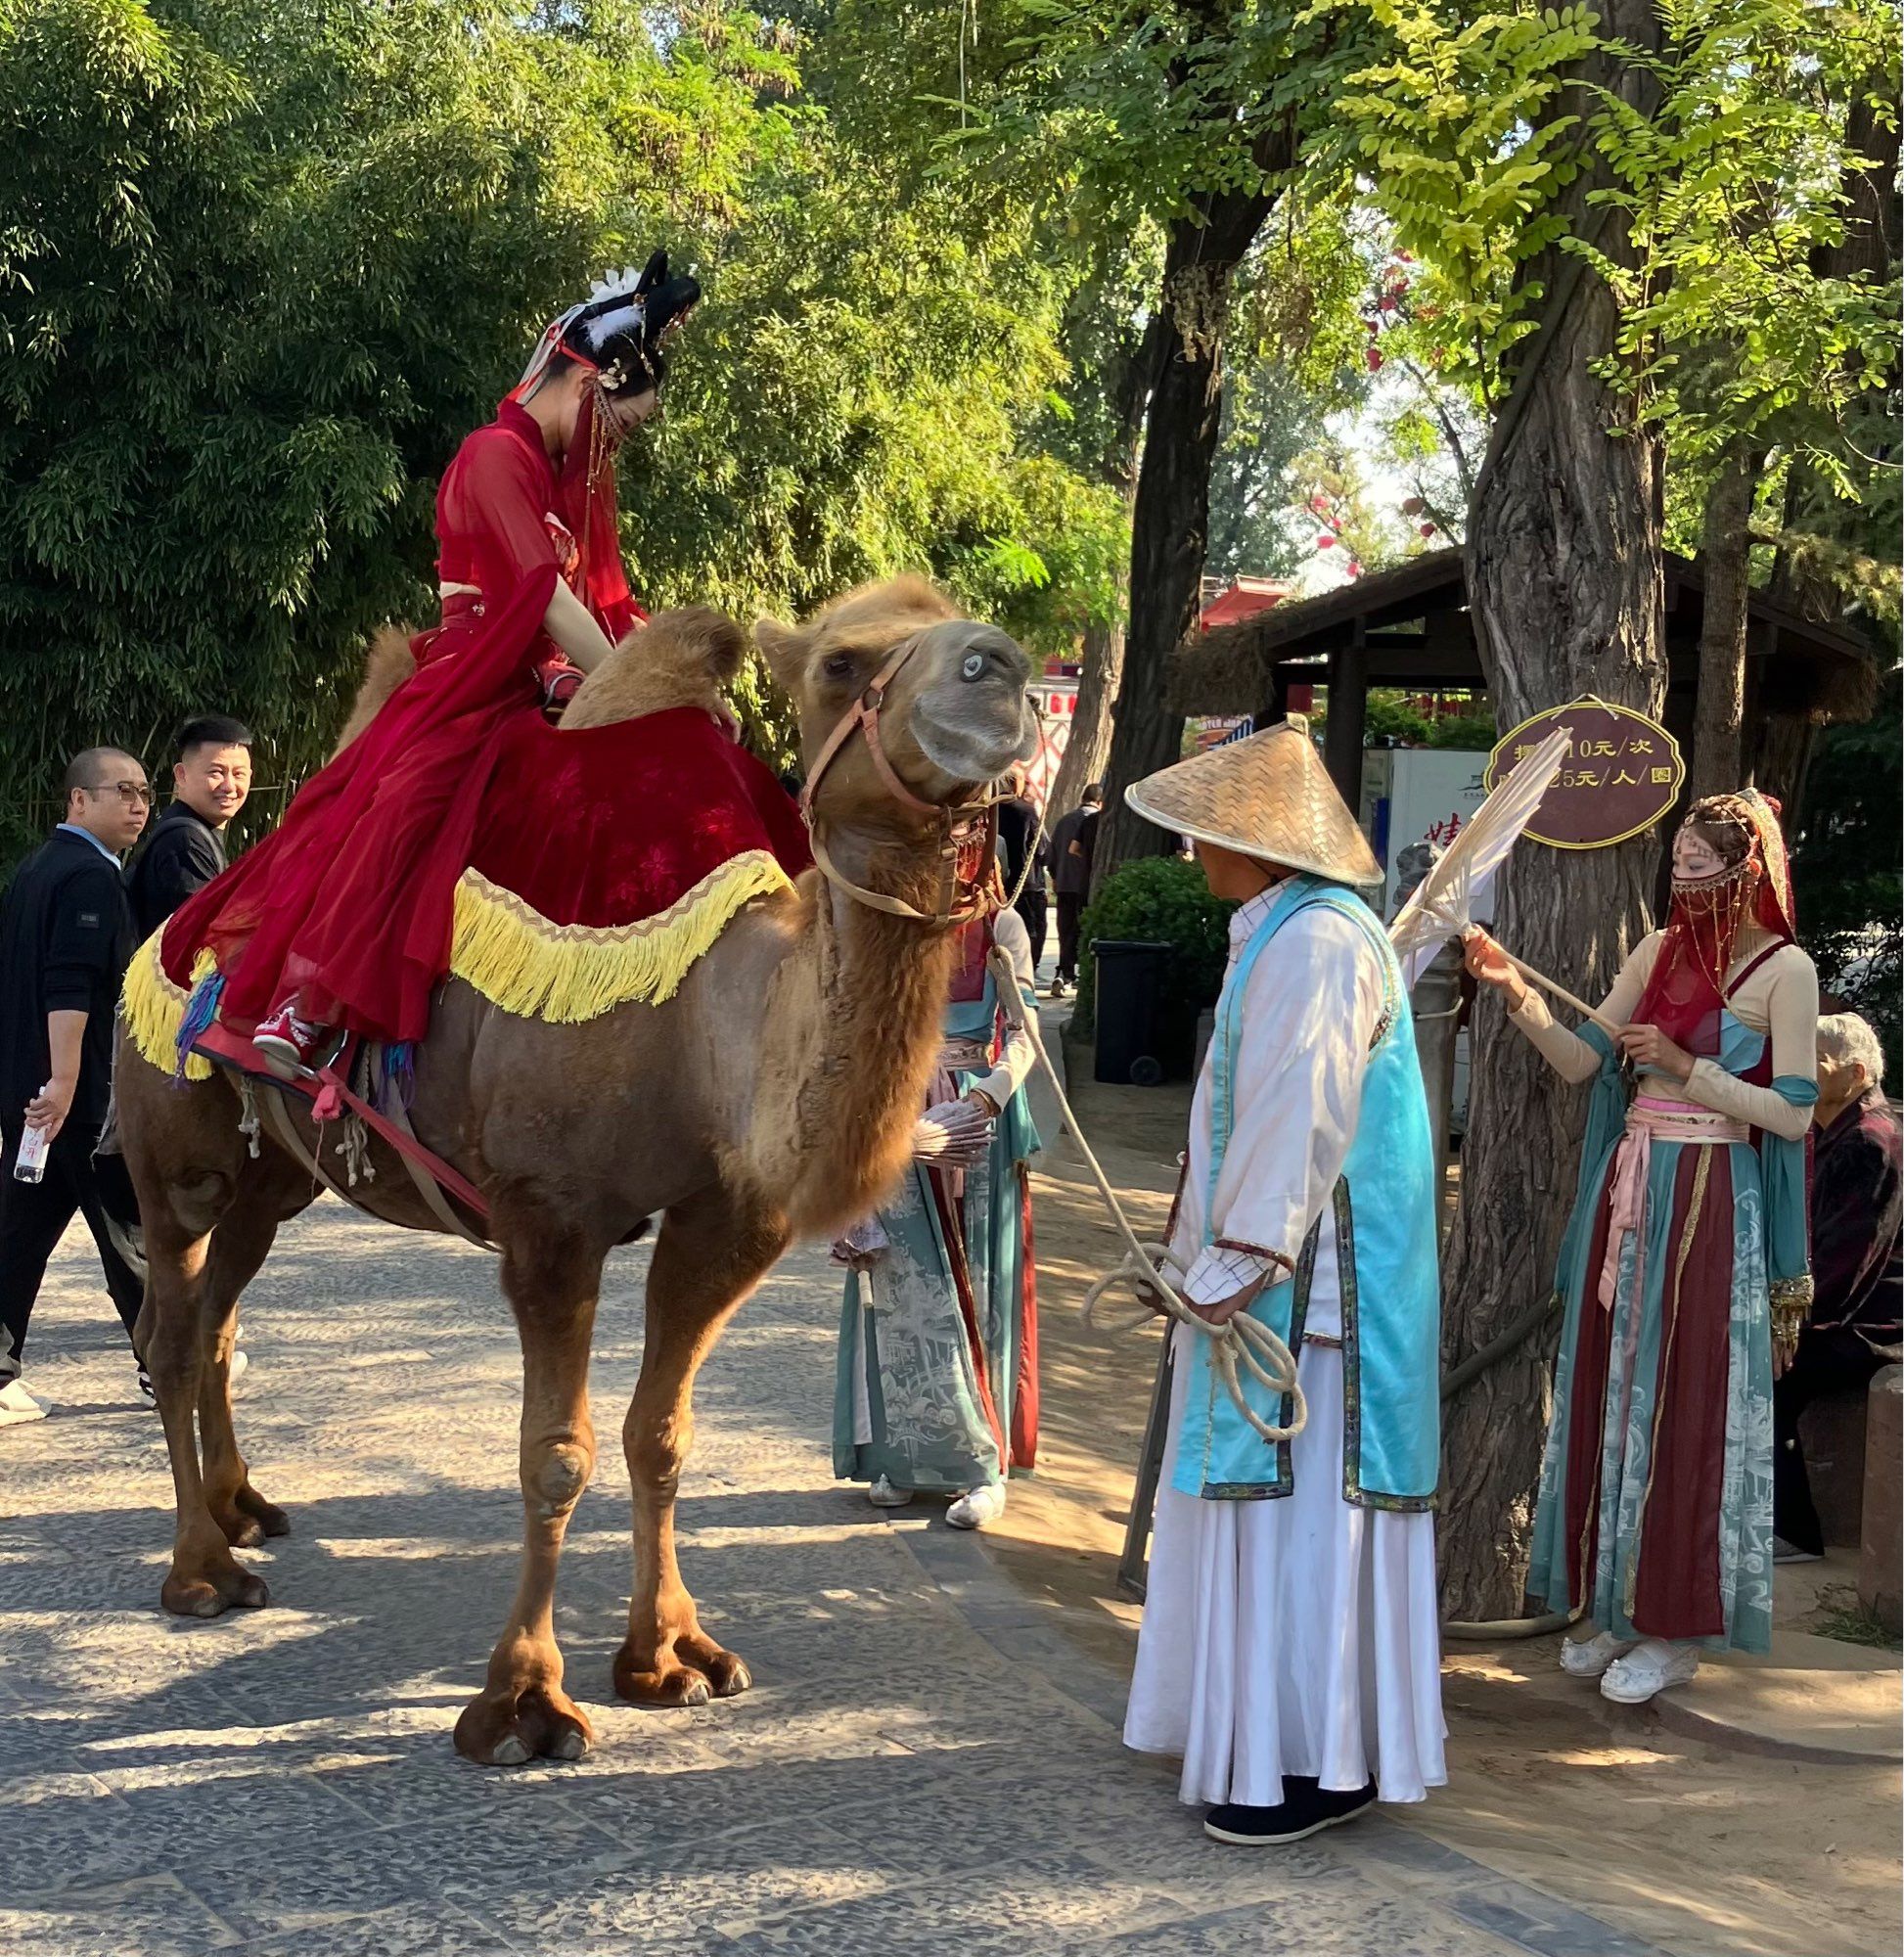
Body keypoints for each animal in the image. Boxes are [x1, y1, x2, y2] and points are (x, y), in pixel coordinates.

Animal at [114, 571, 1041, 1769]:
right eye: (841, 662)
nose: (1000, 669)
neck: (703, 1029)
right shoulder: (550, 1220)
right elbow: (555, 1452)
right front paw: (522, 1704)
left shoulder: (723, 1221)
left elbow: (663, 1435)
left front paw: (672, 1657)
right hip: (173, 1150)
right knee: (173, 1334)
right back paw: (201, 1573)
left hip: (276, 1177)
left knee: (221, 1318)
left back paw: (244, 1509)